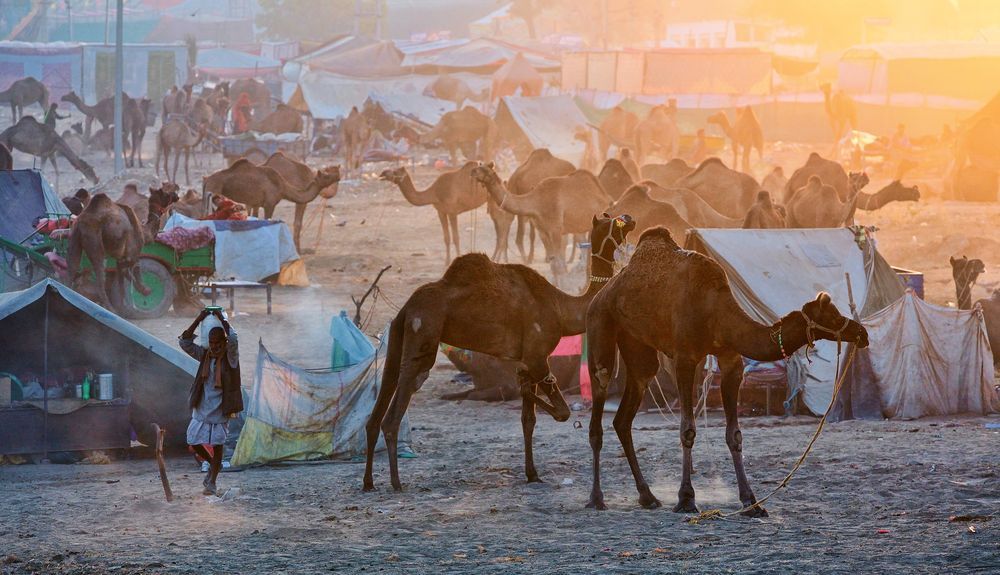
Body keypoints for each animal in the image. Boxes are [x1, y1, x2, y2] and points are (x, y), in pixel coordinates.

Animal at [364, 214, 636, 492]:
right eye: (614, 222)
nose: (630, 218)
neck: (562, 310)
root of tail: (407, 308)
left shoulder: (527, 363)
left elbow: (528, 420)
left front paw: (532, 474)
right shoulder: (537, 358)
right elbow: (562, 412)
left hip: (399, 335)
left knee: (382, 395)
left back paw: (368, 482)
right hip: (423, 332)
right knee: (399, 404)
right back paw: (396, 483)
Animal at [474, 163, 612, 280]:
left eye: (485, 169)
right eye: (479, 166)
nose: (472, 171)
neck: (537, 202)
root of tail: (606, 197)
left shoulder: (555, 230)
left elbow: (559, 266)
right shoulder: (542, 231)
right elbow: (554, 265)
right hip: (579, 227)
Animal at [584, 226, 868, 512]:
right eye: (832, 316)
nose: (862, 333)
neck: (715, 310)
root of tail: (601, 292)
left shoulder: (731, 359)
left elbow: (735, 434)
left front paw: (751, 501)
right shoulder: (685, 359)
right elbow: (687, 429)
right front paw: (686, 498)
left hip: (637, 347)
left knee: (624, 416)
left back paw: (648, 496)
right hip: (600, 324)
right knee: (600, 399)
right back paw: (596, 498)